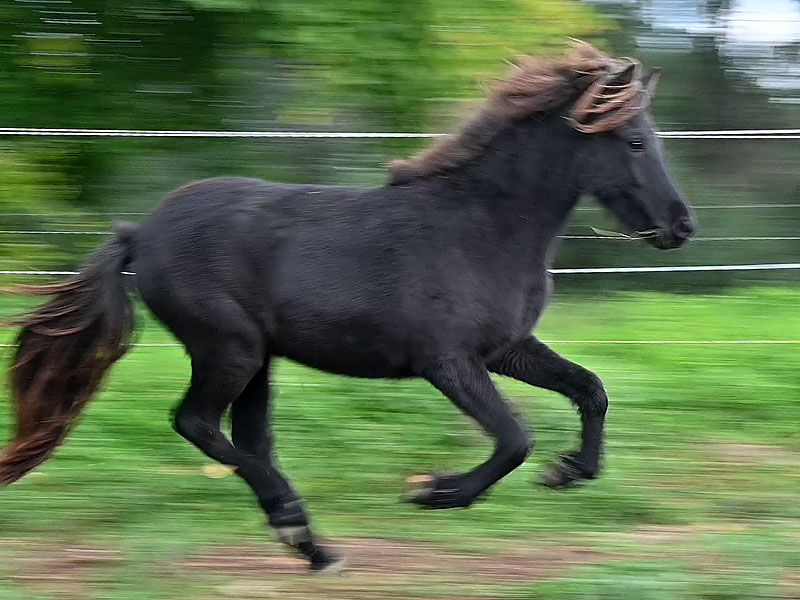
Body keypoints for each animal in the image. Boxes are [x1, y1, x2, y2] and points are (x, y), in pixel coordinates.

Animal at [0, 40, 696, 571]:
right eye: (636, 142)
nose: (681, 226)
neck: (481, 227)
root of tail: (140, 233)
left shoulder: (507, 349)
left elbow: (590, 390)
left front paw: (568, 471)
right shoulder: (448, 362)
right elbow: (514, 438)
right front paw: (435, 492)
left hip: (258, 361)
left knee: (249, 439)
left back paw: (308, 543)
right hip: (229, 349)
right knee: (196, 424)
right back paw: (300, 527)